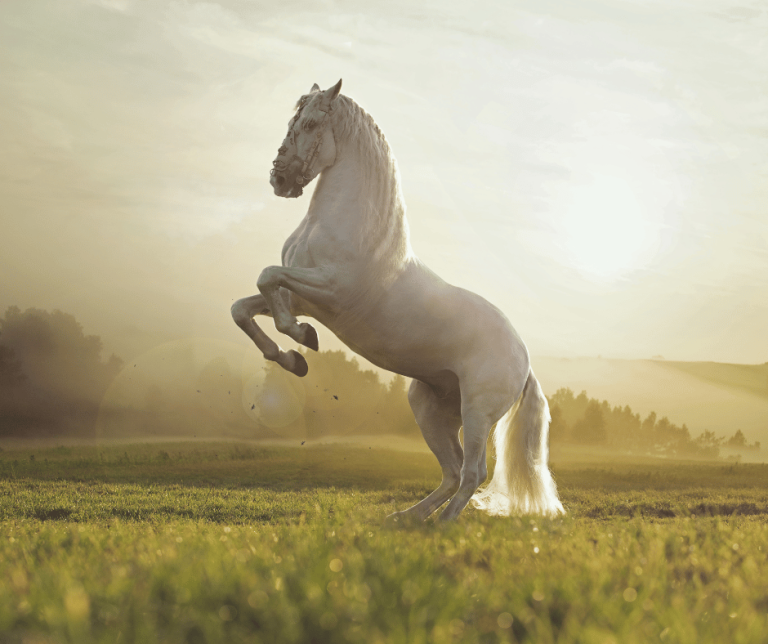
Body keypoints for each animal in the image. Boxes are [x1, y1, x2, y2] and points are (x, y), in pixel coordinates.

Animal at [231, 80, 564, 521]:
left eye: (311, 123)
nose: (280, 179)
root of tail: (523, 361)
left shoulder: (329, 291)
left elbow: (268, 279)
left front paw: (302, 340)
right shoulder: (301, 296)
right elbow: (244, 307)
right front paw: (292, 358)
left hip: (477, 412)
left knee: (473, 472)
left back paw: (441, 525)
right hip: (429, 408)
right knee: (453, 471)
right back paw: (406, 519)